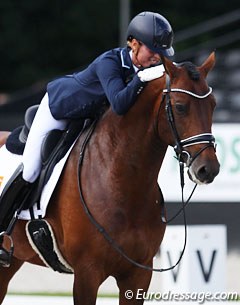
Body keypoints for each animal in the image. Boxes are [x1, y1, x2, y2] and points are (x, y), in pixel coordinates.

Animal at [0, 52, 219, 304]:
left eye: (213, 105)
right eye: (180, 107)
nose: (208, 169)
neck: (124, 183)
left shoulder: (138, 274)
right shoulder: (87, 273)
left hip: (11, 263)